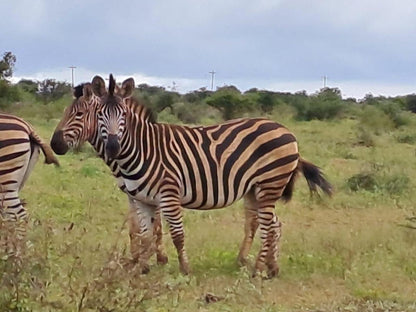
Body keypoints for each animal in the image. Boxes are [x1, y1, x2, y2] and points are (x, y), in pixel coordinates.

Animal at [51, 83, 168, 268]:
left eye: (79, 114)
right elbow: (135, 227)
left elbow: (153, 224)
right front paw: (137, 258)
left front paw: (159, 258)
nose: (54, 144)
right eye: (64, 111)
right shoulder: (134, 194)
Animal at [88, 73, 332, 278]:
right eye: (99, 114)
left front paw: (184, 270)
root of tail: (286, 130)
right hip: (258, 189)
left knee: (268, 227)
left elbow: (176, 234)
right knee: (274, 224)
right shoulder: (142, 199)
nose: (112, 147)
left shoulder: (169, 194)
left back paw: (257, 270)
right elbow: (146, 235)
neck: (144, 148)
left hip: (270, 183)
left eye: (123, 114)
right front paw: (141, 270)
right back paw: (271, 268)